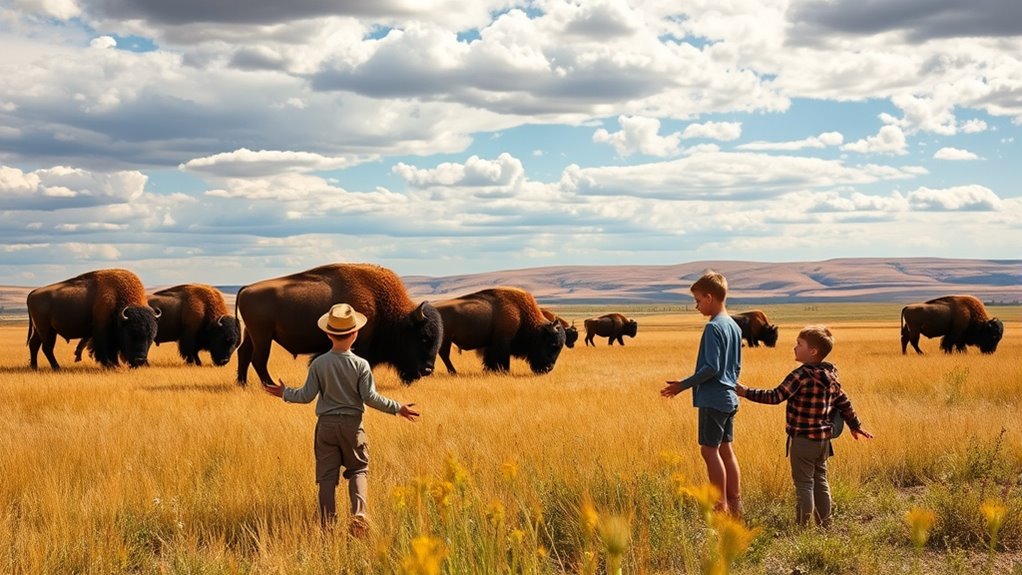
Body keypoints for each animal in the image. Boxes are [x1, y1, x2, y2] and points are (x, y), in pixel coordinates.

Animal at [27, 269, 160, 369]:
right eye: (131, 333)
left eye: (151, 337)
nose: (140, 360)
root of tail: (33, 293)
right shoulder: (102, 332)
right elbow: (106, 350)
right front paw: (111, 365)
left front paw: (115, 365)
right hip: (47, 330)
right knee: (47, 348)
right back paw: (56, 368)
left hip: (40, 330)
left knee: (34, 345)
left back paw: (34, 367)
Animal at [236, 263, 443, 386]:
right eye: (423, 337)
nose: (427, 370)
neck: (379, 304)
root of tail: (247, 288)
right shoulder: (360, 345)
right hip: (263, 336)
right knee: (258, 359)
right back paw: (270, 385)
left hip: (252, 335)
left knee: (244, 354)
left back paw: (243, 384)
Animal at [436, 288, 566, 374]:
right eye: (553, 345)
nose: (548, 368)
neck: (521, 314)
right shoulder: (503, 342)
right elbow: (502, 358)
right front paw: (504, 371)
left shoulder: (490, 344)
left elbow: (489, 359)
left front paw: (488, 371)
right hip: (446, 340)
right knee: (444, 355)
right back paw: (453, 372)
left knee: (443, 355)